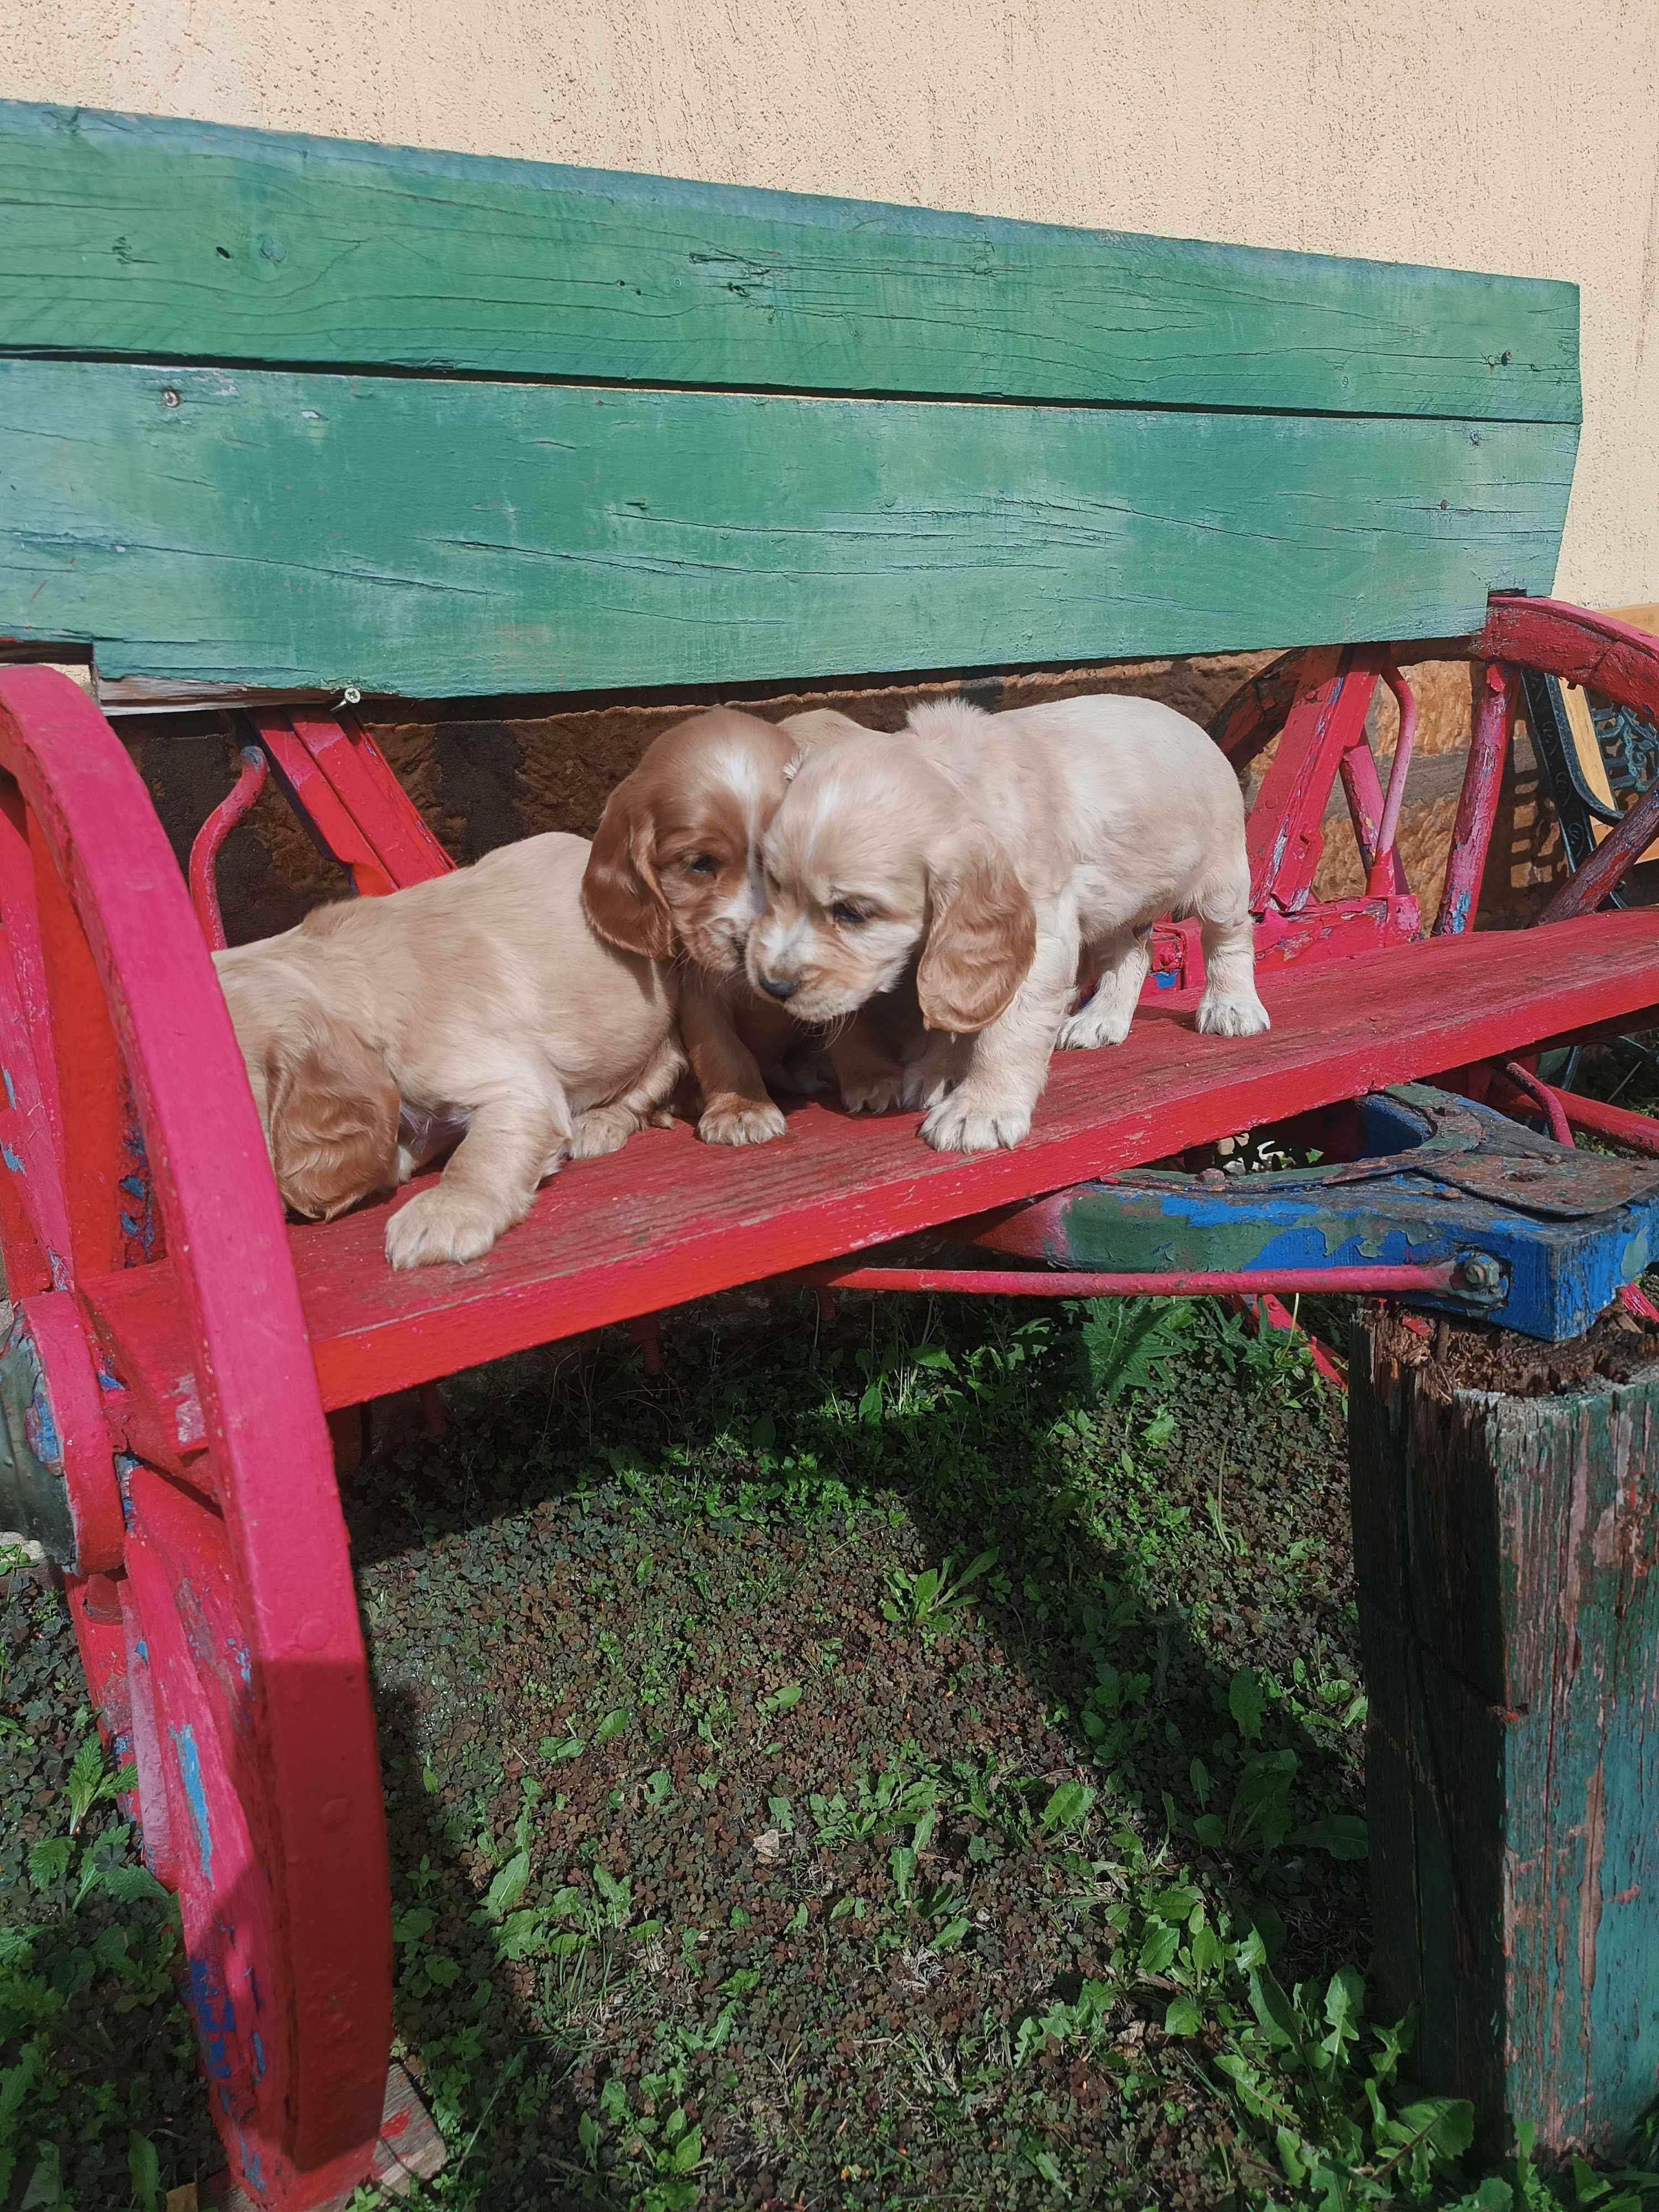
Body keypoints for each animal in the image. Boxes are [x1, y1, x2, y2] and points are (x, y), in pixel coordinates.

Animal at [580, 703, 902, 1141]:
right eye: (700, 864)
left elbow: (849, 1023)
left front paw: (873, 1078)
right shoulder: (697, 989)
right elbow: (721, 1049)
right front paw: (741, 1108)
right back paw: (611, 1118)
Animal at [752, 699, 1274, 1159]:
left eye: (853, 912)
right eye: (773, 885)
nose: (772, 987)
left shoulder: (1036, 936)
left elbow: (1008, 1029)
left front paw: (978, 1111)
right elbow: (957, 1010)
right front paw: (937, 1072)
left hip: (1222, 876)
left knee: (1229, 938)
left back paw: (1232, 1008)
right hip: (1117, 899)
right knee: (1133, 954)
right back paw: (1099, 1020)